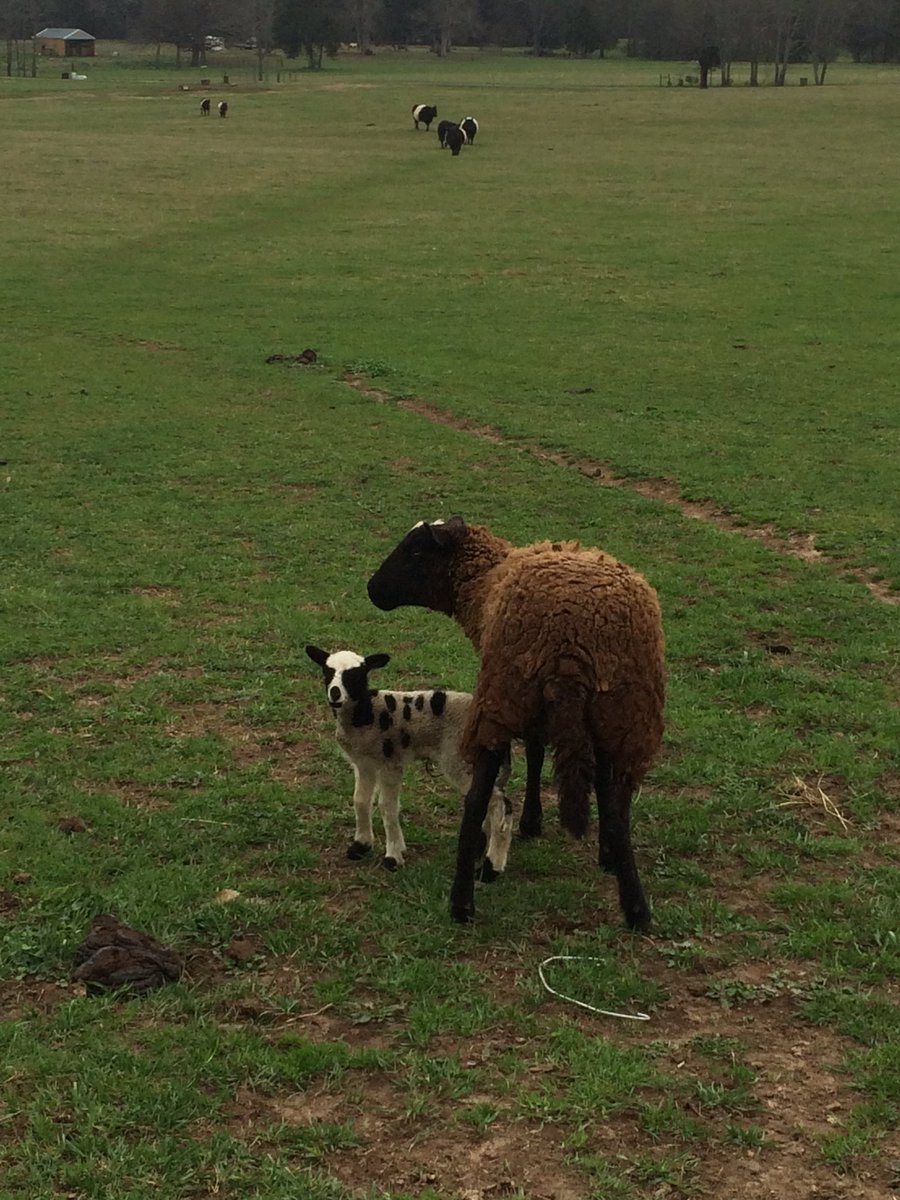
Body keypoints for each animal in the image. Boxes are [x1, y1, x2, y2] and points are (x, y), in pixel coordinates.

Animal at [305, 645, 514, 877]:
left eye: (356, 675)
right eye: (327, 671)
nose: (335, 693)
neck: (366, 715)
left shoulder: (390, 763)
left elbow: (387, 806)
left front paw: (393, 857)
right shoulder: (363, 763)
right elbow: (360, 800)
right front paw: (361, 845)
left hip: (459, 760)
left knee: (500, 803)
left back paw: (492, 867)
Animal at [367, 517, 666, 930]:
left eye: (414, 550)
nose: (372, 589)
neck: (485, 582)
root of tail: (571, 641)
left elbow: (535, 754)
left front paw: (530, 822)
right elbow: (601, 789)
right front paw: (606, 853)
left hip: (502, 697)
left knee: (476, 798)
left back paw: (462, 903)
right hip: (624, 713)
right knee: (620, 806)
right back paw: (636, 909)